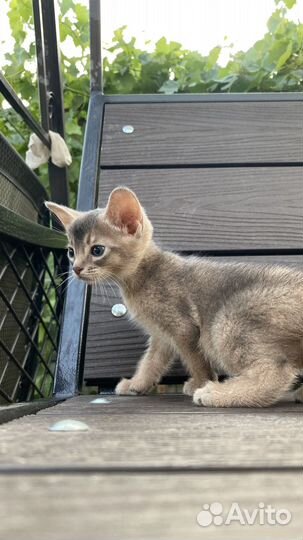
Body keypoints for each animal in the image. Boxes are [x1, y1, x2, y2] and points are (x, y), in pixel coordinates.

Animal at [45, 188, 303, 408]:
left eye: (97, 250)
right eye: (71, 252)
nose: (76, 269)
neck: (145, 275)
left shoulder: (183, 328)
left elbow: (196, 361)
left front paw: (201, 383)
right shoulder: (161, 335)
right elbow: (151, 362)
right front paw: (137, 384)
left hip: (225, 322)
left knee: (276, 372)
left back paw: (216, 393)